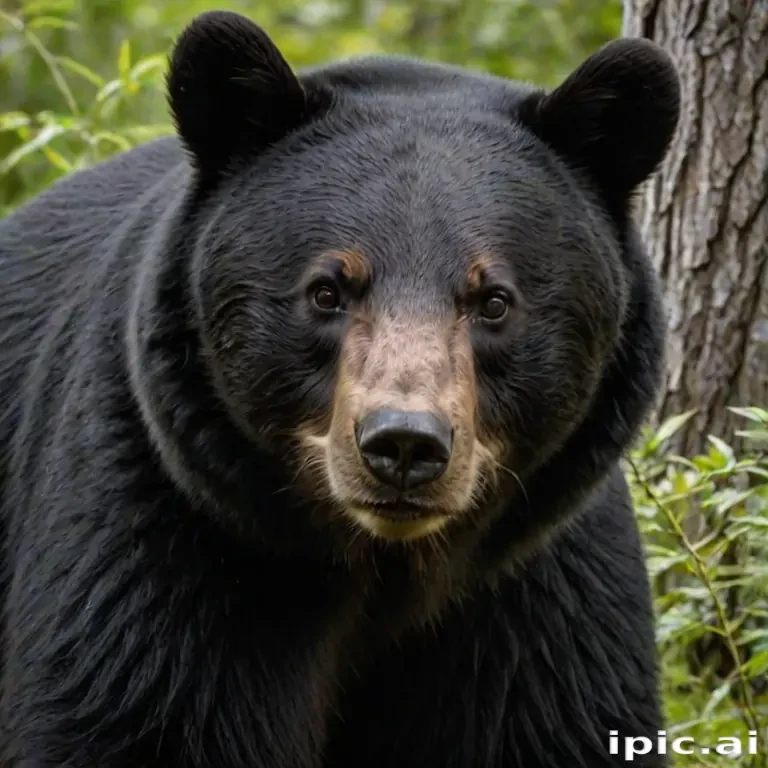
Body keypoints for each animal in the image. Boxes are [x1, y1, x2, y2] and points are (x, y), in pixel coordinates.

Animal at [0, 9, 680, 768]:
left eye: (494, 300)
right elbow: (128, 707)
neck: (384, 570)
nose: (405, 444)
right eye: (327, 290)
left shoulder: (541, 591)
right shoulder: (166, 528)